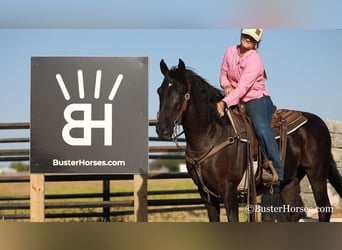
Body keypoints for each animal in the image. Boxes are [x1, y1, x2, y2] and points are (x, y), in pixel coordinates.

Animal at [156, 59, 342, 223]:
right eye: (159, 91)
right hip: (290, 180)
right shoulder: (206, 195)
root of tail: (320, 124)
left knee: (324, 210)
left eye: (181, 91)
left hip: (316, 173)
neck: (211, 134)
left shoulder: (229, 190)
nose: (162, 129)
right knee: (293, 214)